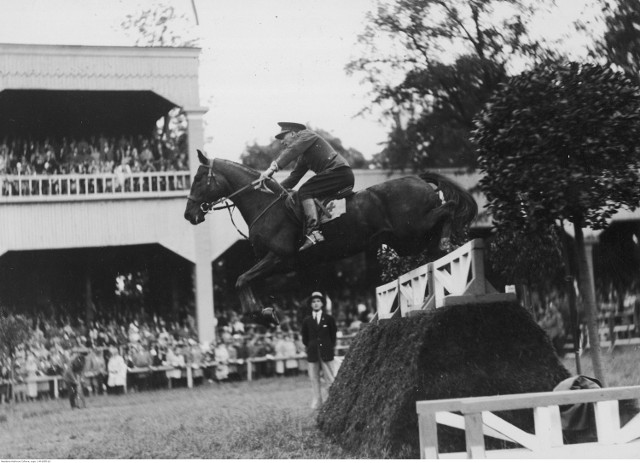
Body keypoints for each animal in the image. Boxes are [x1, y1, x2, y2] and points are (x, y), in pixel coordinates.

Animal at [185, 151, 476, 322]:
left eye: (198, 178)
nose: (189, 214)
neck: (264, 205)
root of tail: (418, 179)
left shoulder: (278, 258)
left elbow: (241, 279)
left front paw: (257, 312)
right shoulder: (273, 265)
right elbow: (244, 280)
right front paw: (263, 310)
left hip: (413, 227)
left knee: (449, 208)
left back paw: (447, 241)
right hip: (407, 240)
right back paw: (443, 248)